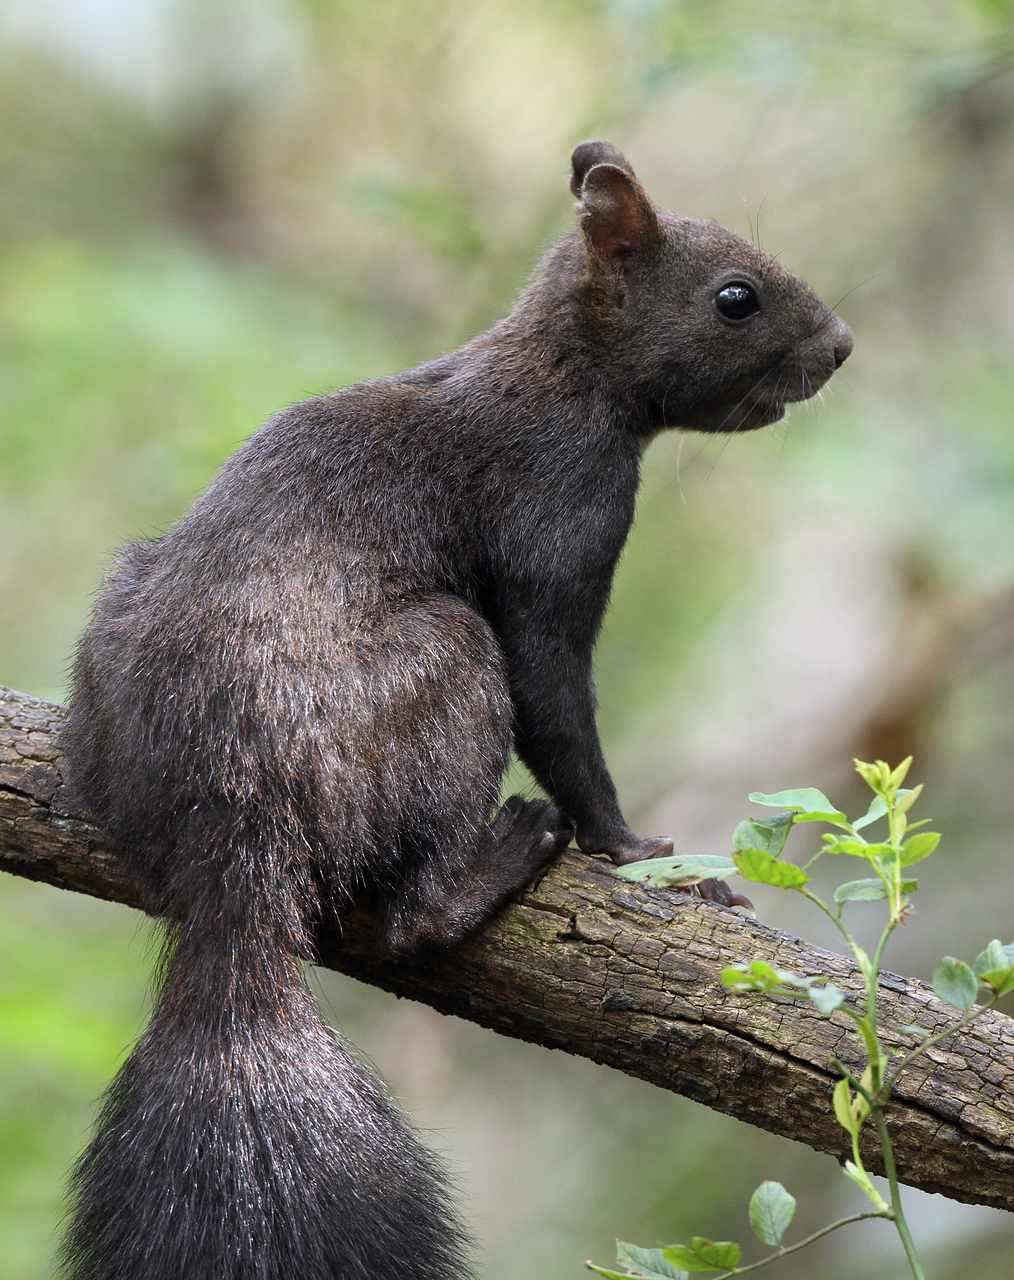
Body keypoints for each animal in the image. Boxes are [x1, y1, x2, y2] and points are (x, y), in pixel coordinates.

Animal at [61, 140, 855, 1280]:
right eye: (734, 297)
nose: (841, 346)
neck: (561, 372)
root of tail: (232, 832)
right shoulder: (561, 522)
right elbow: (557, 705)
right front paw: (640, 850)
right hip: (446, 668)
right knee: (413, 915)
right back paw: (506, 852)